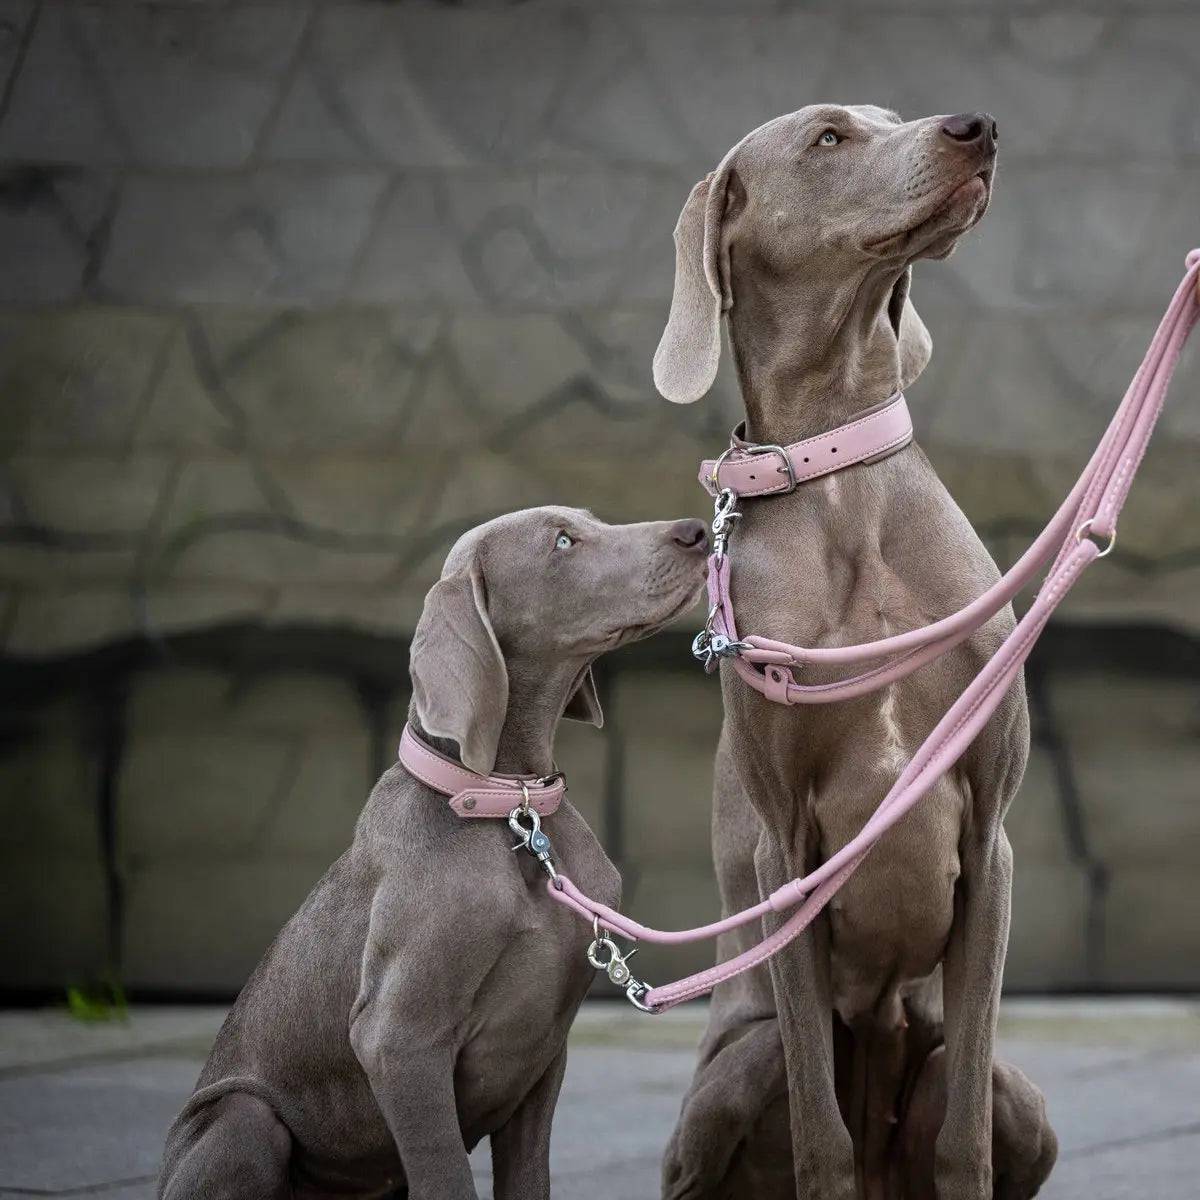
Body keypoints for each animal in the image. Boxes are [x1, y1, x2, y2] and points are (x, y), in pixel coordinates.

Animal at [154, 506, 705, 1200]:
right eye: (562, 541)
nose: (697, 530)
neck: (507, 804)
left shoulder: (543, 1051)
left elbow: (528, 1178)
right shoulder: (398, 1039)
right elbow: (445, 1173)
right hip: (242, 1117)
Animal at [657, 108, 1060, 1195]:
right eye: (830, 138)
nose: (978, 126)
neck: (843, 480)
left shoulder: (990, 840)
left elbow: (963, 1134)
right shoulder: (785, 851)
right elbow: (819, 1139)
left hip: (1019, 1093)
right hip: (733, 1072)